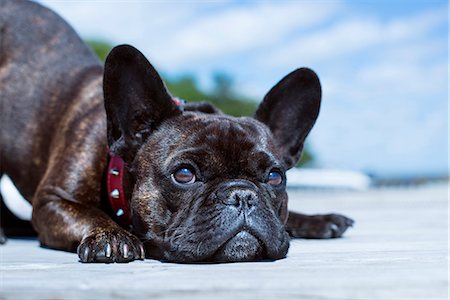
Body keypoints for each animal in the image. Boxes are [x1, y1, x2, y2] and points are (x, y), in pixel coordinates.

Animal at [0, 0, 354, 262]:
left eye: (275, 177)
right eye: (184, 174)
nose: (243, 195)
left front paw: (315, 219)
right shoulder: (53, 201)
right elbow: (87, 214)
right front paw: (110, 236)